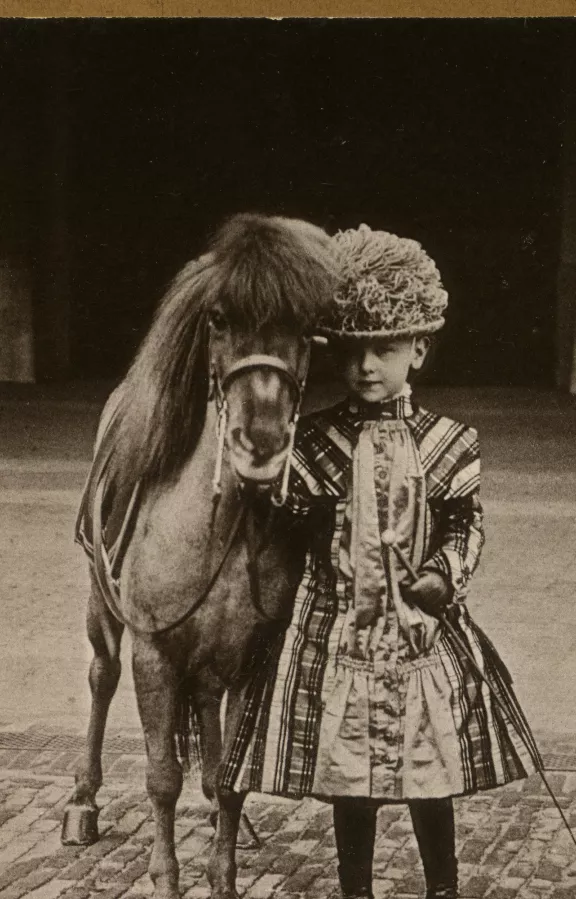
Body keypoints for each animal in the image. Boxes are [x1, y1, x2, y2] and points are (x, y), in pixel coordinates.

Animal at [60, 216, 340, 899]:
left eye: (306, 326)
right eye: (218, 318)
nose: (260, 441)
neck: (223, 526)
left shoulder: (255, 655)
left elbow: (234, 777)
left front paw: (224, 872)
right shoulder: (155, 654)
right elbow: (162, 776)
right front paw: (166, 876)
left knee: (210, 714)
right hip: (101, 609)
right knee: (101, 676)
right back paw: (83, 800)